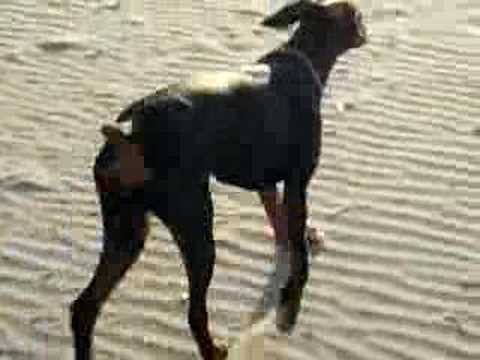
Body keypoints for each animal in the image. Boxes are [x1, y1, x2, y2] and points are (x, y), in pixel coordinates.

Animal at [69, 1, 366, 358]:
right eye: (356, 15)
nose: (365, 28)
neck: (303, 56)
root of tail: (131, 135)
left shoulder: (266, 185)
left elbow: (279, 222)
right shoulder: (297, 184)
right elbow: (299, 255)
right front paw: (289, 304)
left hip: (126, 231)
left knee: (85, 307)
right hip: (195, 227)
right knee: (194, 311)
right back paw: (214, 349)